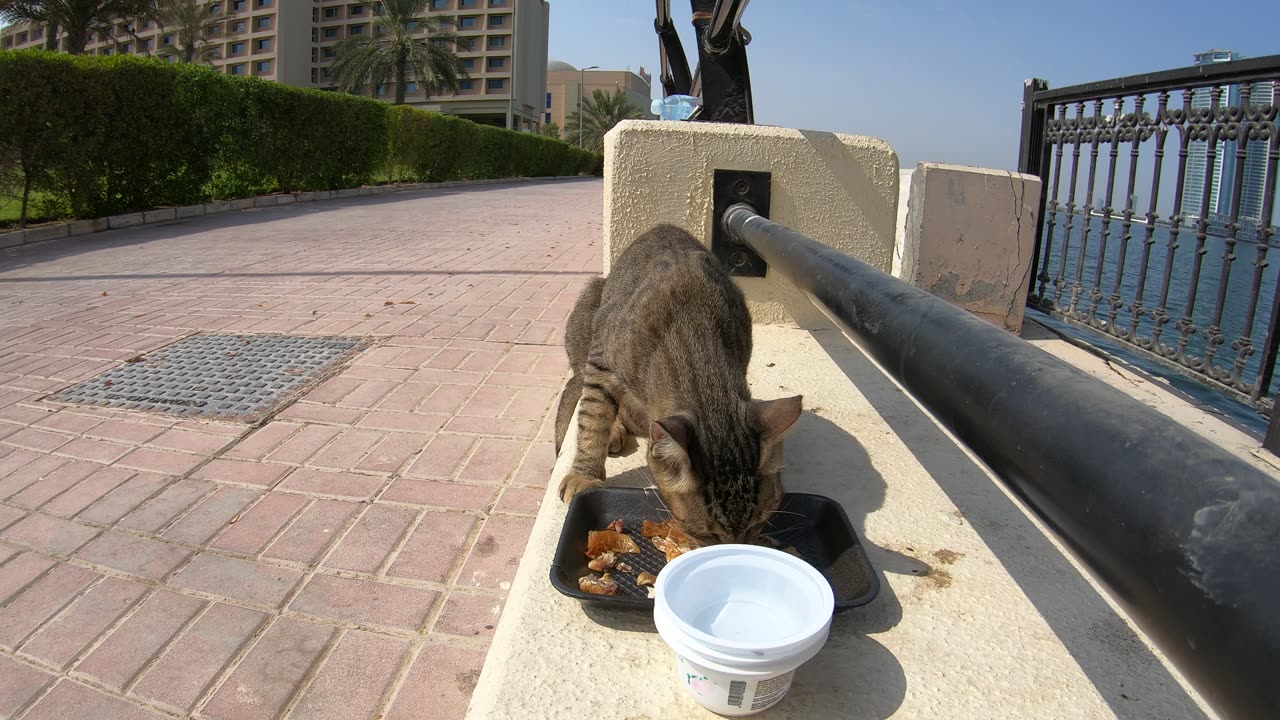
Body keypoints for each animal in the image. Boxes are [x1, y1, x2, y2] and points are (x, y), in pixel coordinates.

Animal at [558, 224, 798, 543]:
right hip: (589, 310)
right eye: (710, 535)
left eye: (757, 524)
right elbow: (592, 421)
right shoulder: (600, 364)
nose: (741, 547)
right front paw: (584, 475)